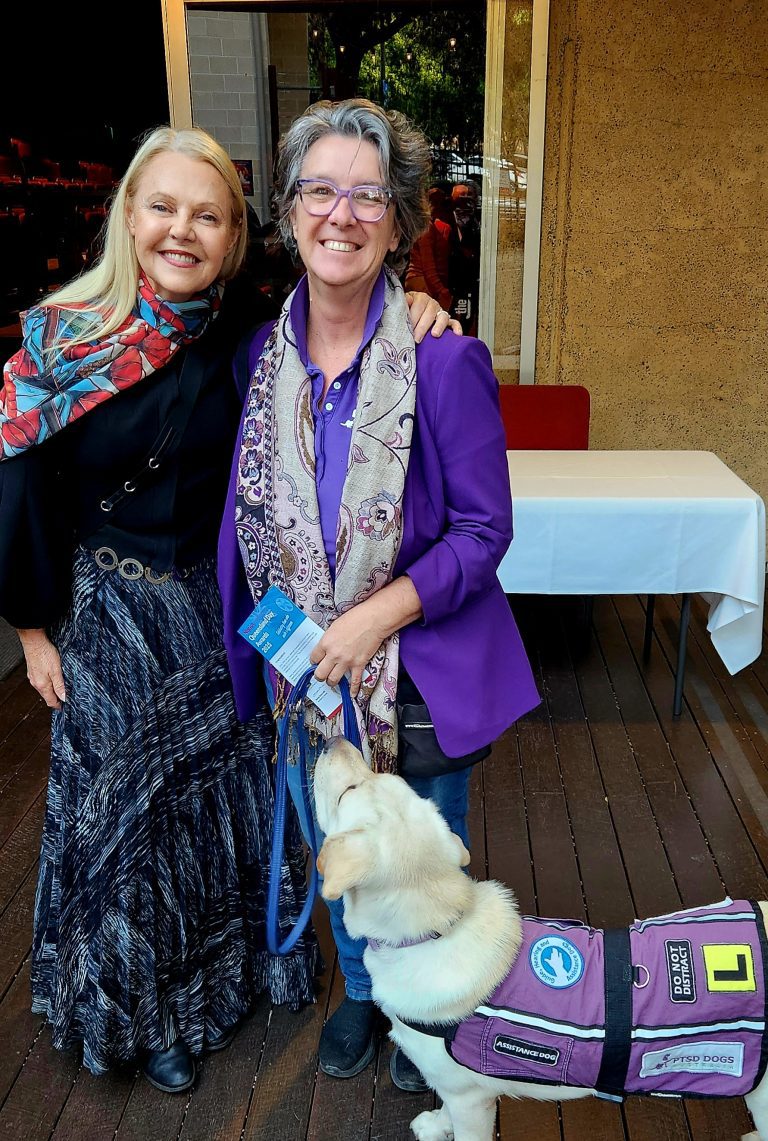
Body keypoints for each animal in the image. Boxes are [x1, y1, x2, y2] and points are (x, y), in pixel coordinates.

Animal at [314, 738, 768, 1141]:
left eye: (350, 791)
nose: (333, 739)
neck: (439, 928)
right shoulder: (454, 1091)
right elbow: (443, 1108)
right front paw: (436, 1126)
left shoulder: (471, 1100)